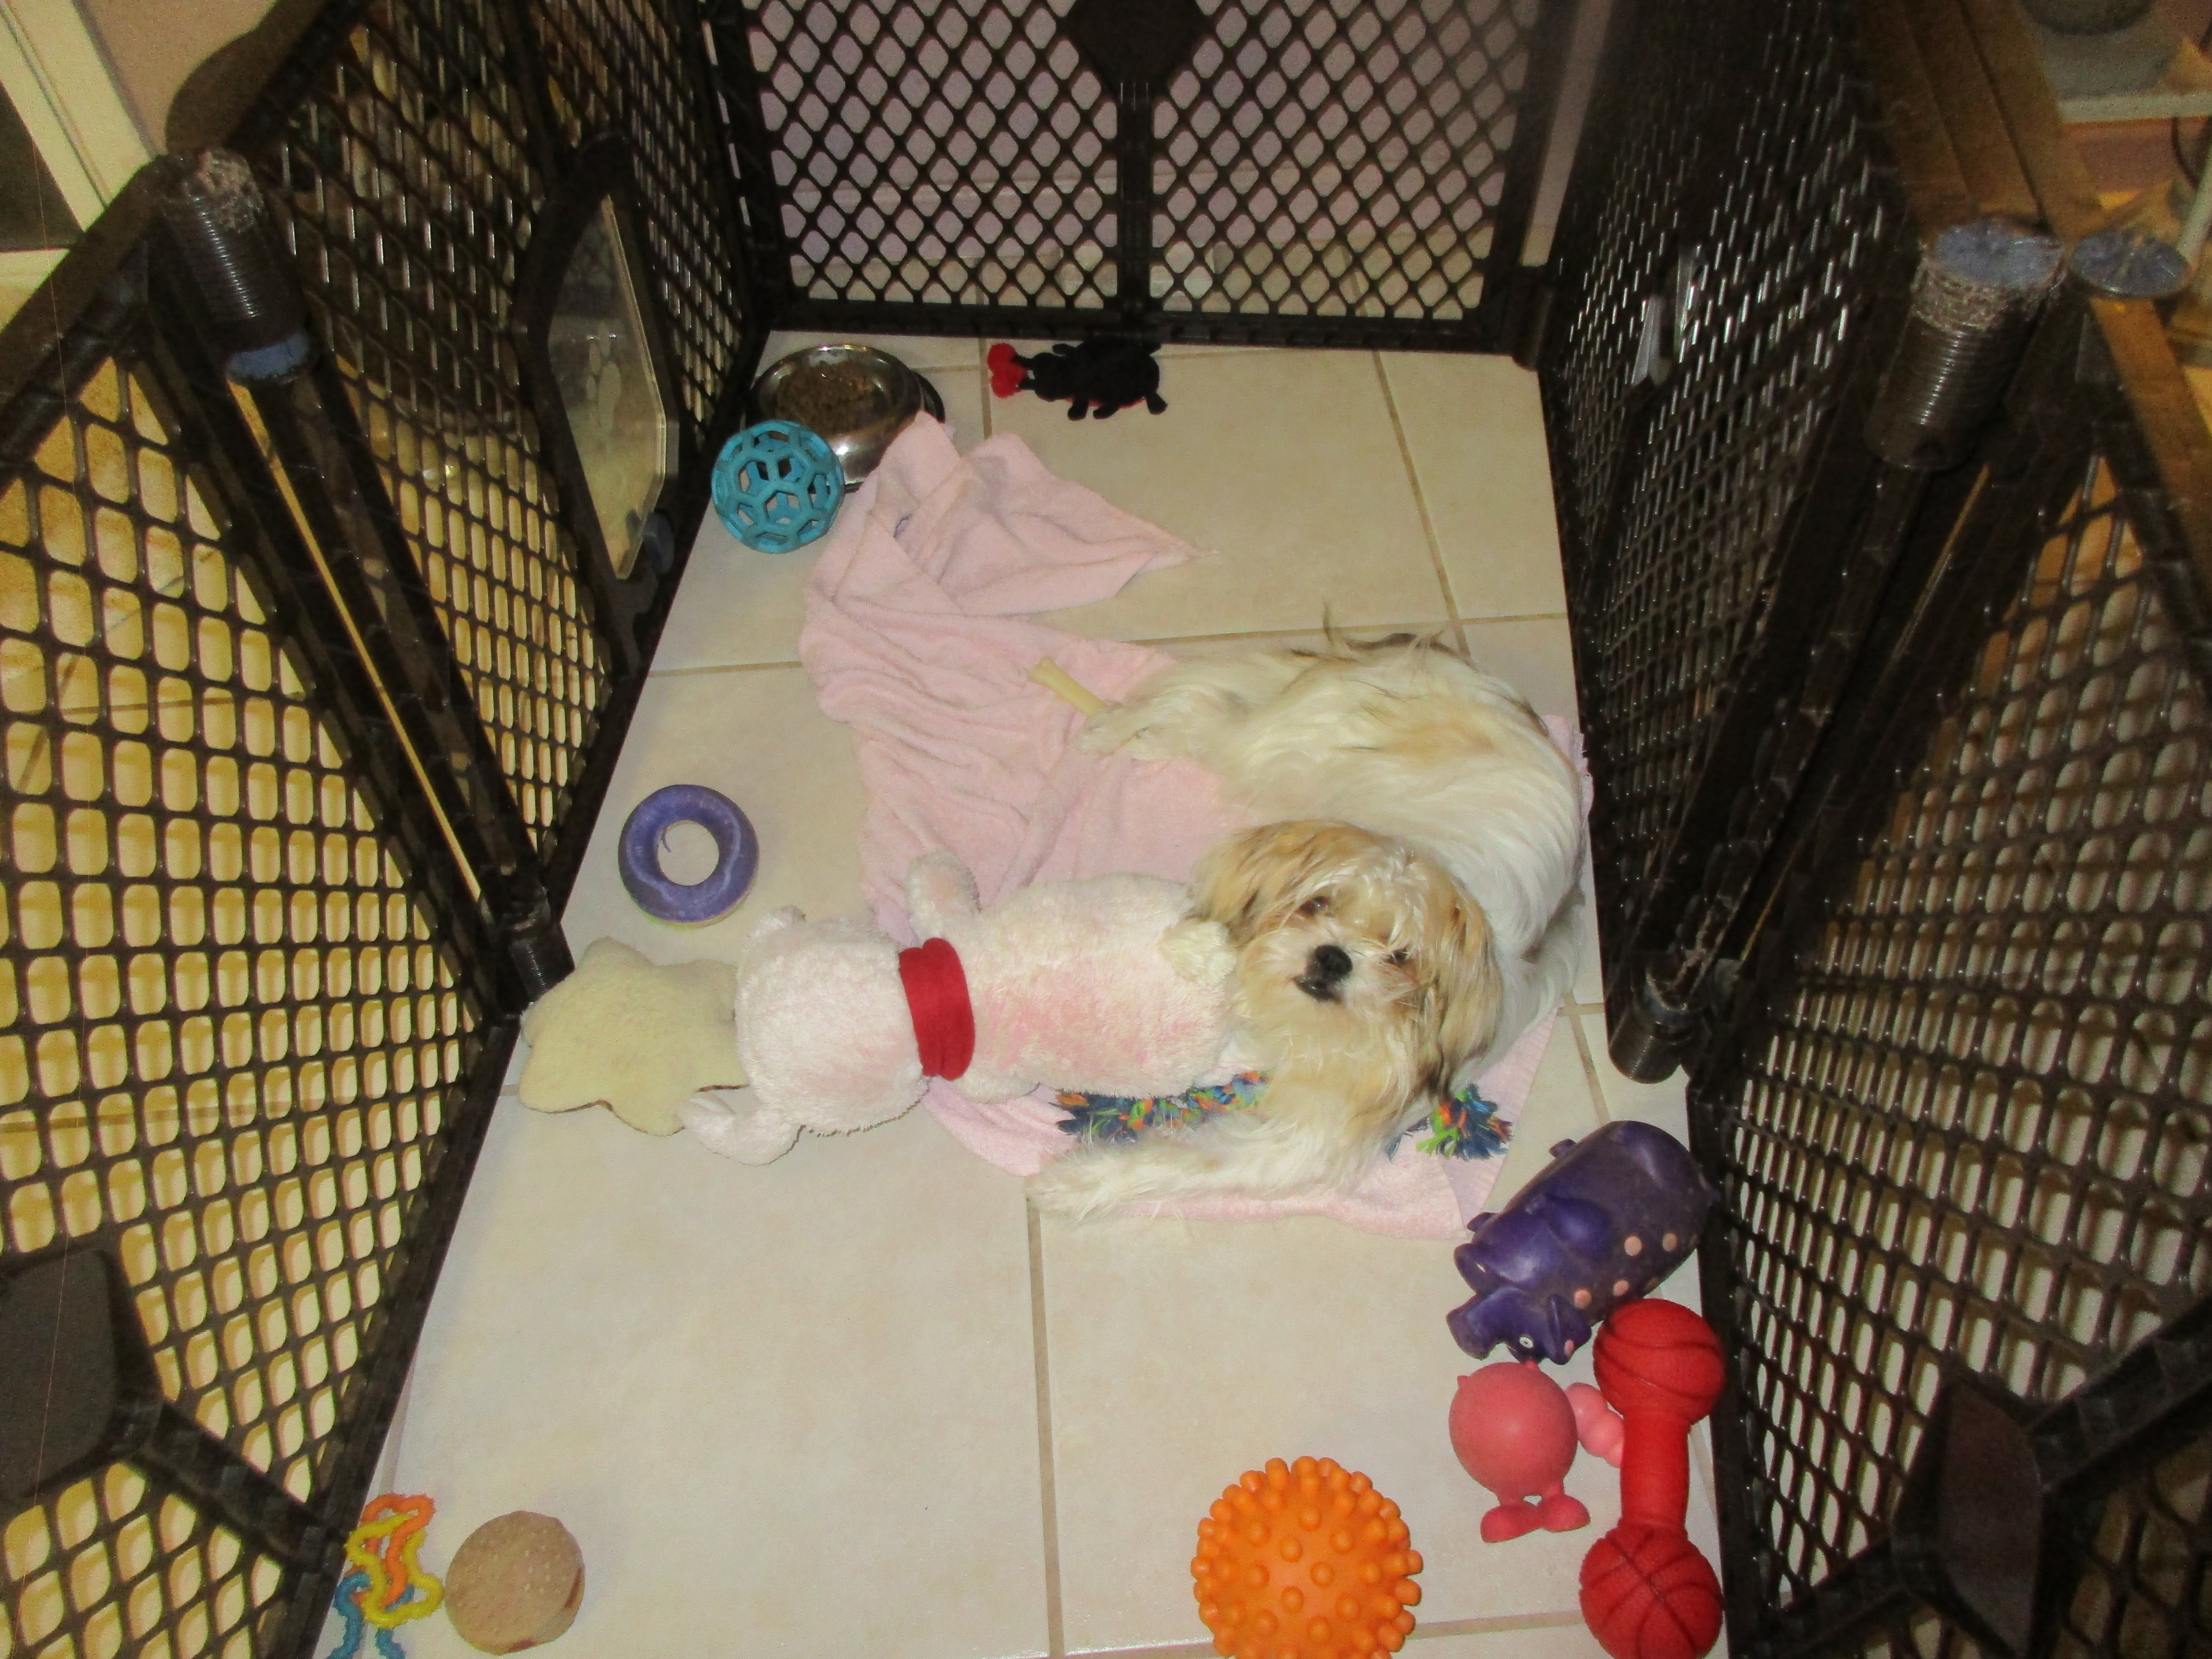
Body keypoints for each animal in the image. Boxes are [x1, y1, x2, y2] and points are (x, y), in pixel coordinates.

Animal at [1026, 630, 1585, 1213]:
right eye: (1317, 904)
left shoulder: (1307, 1138)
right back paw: (1114, 727)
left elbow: (1183, 1162)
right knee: (1204, 704)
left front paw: (1074, 1182)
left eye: (1401, 956)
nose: (1333, 958)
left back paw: (1137, 736)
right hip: (1295, 741)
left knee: (1206, 709)